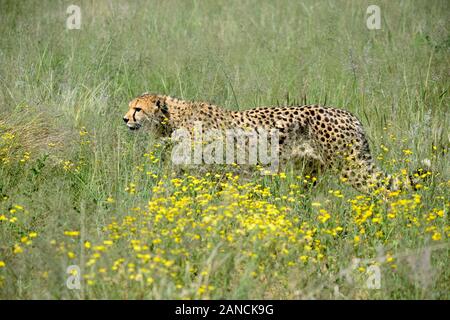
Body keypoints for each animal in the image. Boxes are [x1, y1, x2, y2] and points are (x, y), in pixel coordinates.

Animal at [123, 92, 414, 192]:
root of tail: (349, 114)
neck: (172, 119)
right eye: (130, 107)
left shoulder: (215, 172)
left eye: (137, 109)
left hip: (350, 167)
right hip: (312, 172)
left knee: (384, 190)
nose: (124, 118)